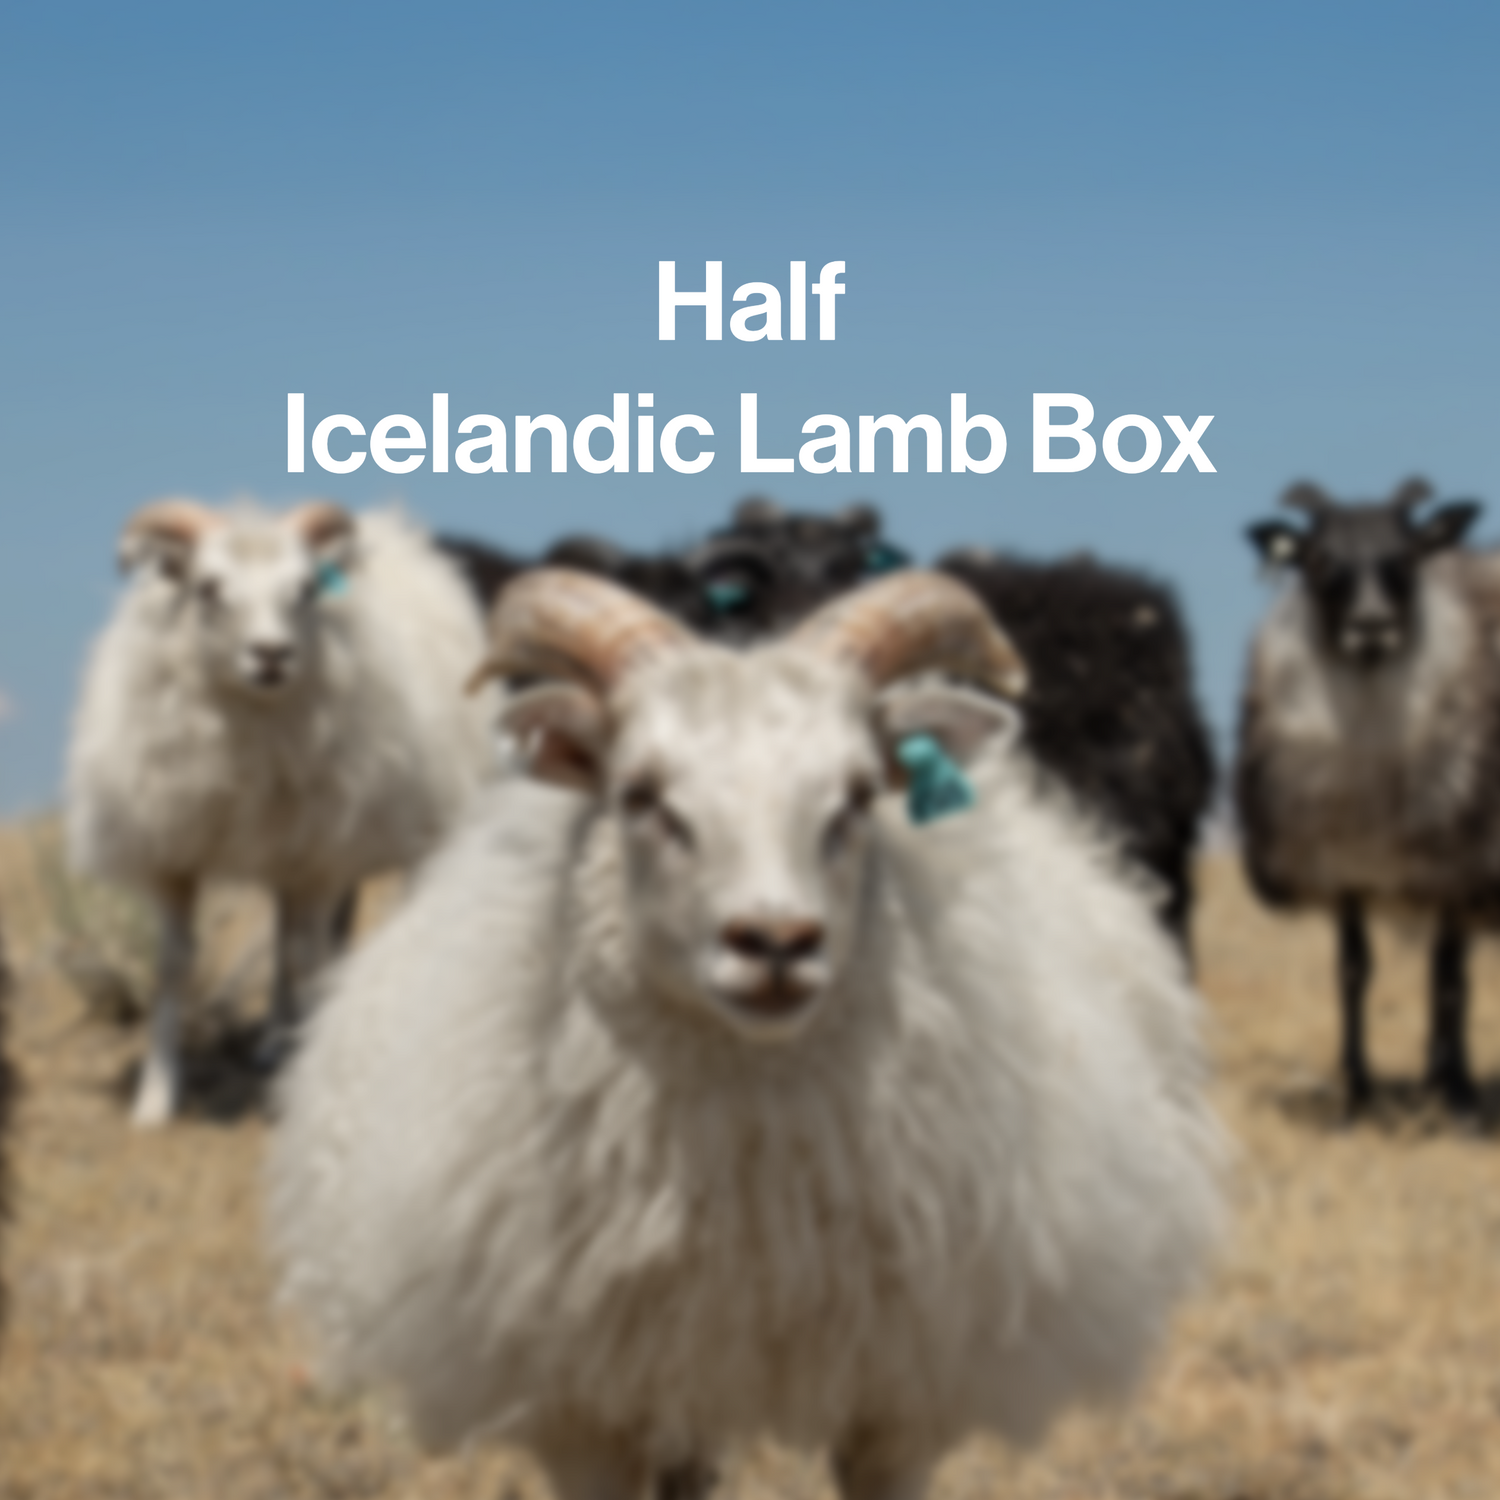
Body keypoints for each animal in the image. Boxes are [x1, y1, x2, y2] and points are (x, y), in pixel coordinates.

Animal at [66, 499, 497, 1127]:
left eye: (305, 589)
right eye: (207, 588)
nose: (272, 654)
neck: (250, 723)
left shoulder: (319, 857)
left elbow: (304, 958)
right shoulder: (176, 853)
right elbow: (174, 966)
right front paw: (155, 1099)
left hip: (404, 830)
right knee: (285, 930)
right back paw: (274, 1038)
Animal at [1235, 478, 1496, 1116]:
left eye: (1405, 559)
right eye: (1319, 560)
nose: (1372, 626)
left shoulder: (1454, 870)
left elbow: (1446, 978)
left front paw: (1452, 1090)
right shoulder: (1342, 870)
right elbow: (1353, 970)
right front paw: (1357, 1086)